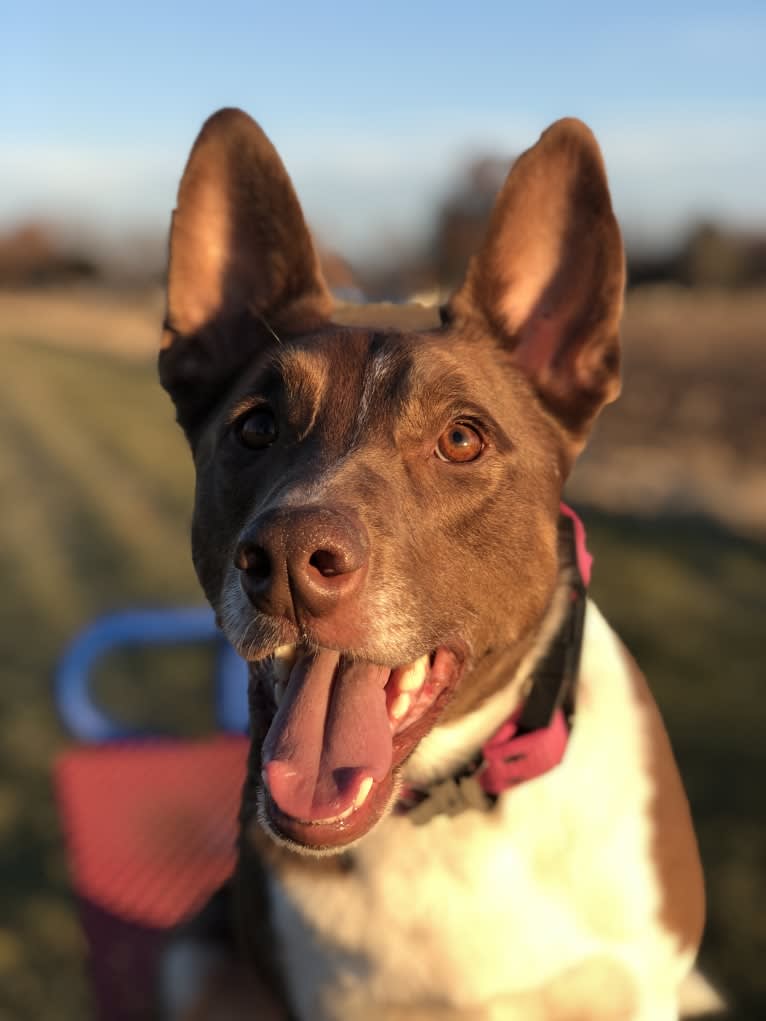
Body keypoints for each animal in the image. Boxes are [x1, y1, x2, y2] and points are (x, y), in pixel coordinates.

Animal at [157, 109, 714, 1021]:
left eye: (461, 438)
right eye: (254, 427)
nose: (286, 558)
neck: (449, 801)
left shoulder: (635, 986)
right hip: (194, 959)